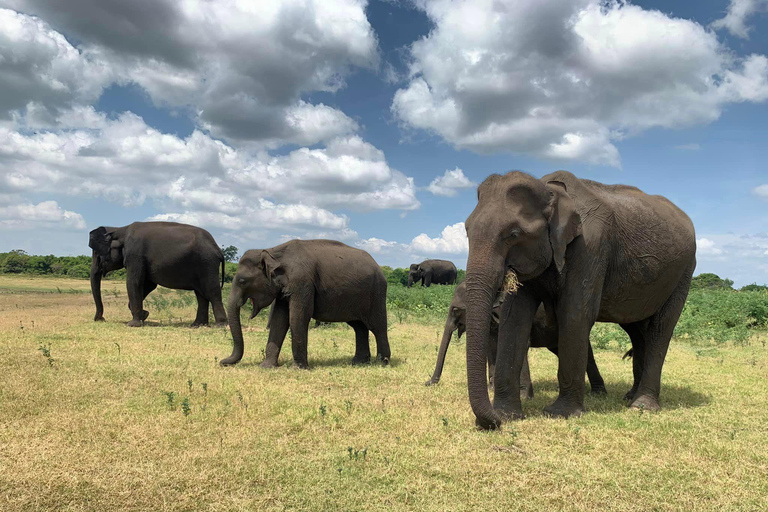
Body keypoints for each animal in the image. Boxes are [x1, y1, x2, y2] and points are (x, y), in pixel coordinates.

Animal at [88, 221, 225, 326]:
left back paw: (219, 325)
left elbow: (134, 282)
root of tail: (218, 248)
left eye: (96, 253)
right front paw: (144, 315)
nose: (100, 319)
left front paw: (133, 324)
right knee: (201, 295)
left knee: (212, 291)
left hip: (207, 263)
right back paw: (197, 325)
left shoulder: (135, 254)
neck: (119, 229)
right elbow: (148, 285)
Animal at [220, 240, 390, 368]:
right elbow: (279, 320)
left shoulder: (302, 282)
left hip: (377, 292)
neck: (273, 251)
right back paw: (358, 363)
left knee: (377, 326)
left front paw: (297, 368)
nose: (222, 362)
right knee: (359, 327)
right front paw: (266, 367)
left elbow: (298, 317)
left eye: (242, 281)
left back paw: (382, 362)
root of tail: (378, 266)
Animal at [426, 282, 608, 398]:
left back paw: (597, 393)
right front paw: (492, 390)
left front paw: (523, 397)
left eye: (455, 310)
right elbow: (491, 347)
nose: (428, 383)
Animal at [462, 171, 696, 428]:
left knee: (660, 328)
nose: (492, 423)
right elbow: (514, 319)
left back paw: (641, 406)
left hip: (684, 272)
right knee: (637, 331)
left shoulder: (590, 247)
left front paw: (559, 414)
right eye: (466, 231)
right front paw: (507, 415)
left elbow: (575, 314)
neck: (549, 191)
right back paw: (630, 397)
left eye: (514, 235)